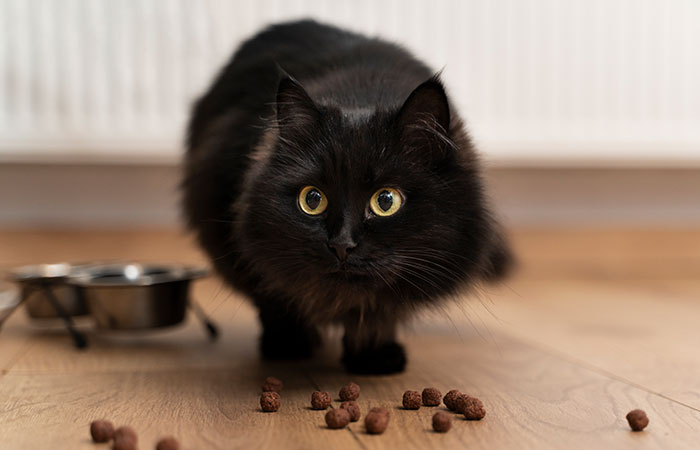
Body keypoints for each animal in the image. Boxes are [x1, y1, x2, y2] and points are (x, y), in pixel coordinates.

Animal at [182, 19, 508, 374]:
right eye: (312, 200)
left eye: (386, 201)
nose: (341, 244)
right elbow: (275, 294)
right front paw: (289, 344)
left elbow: (378, 310)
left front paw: (373, 356)